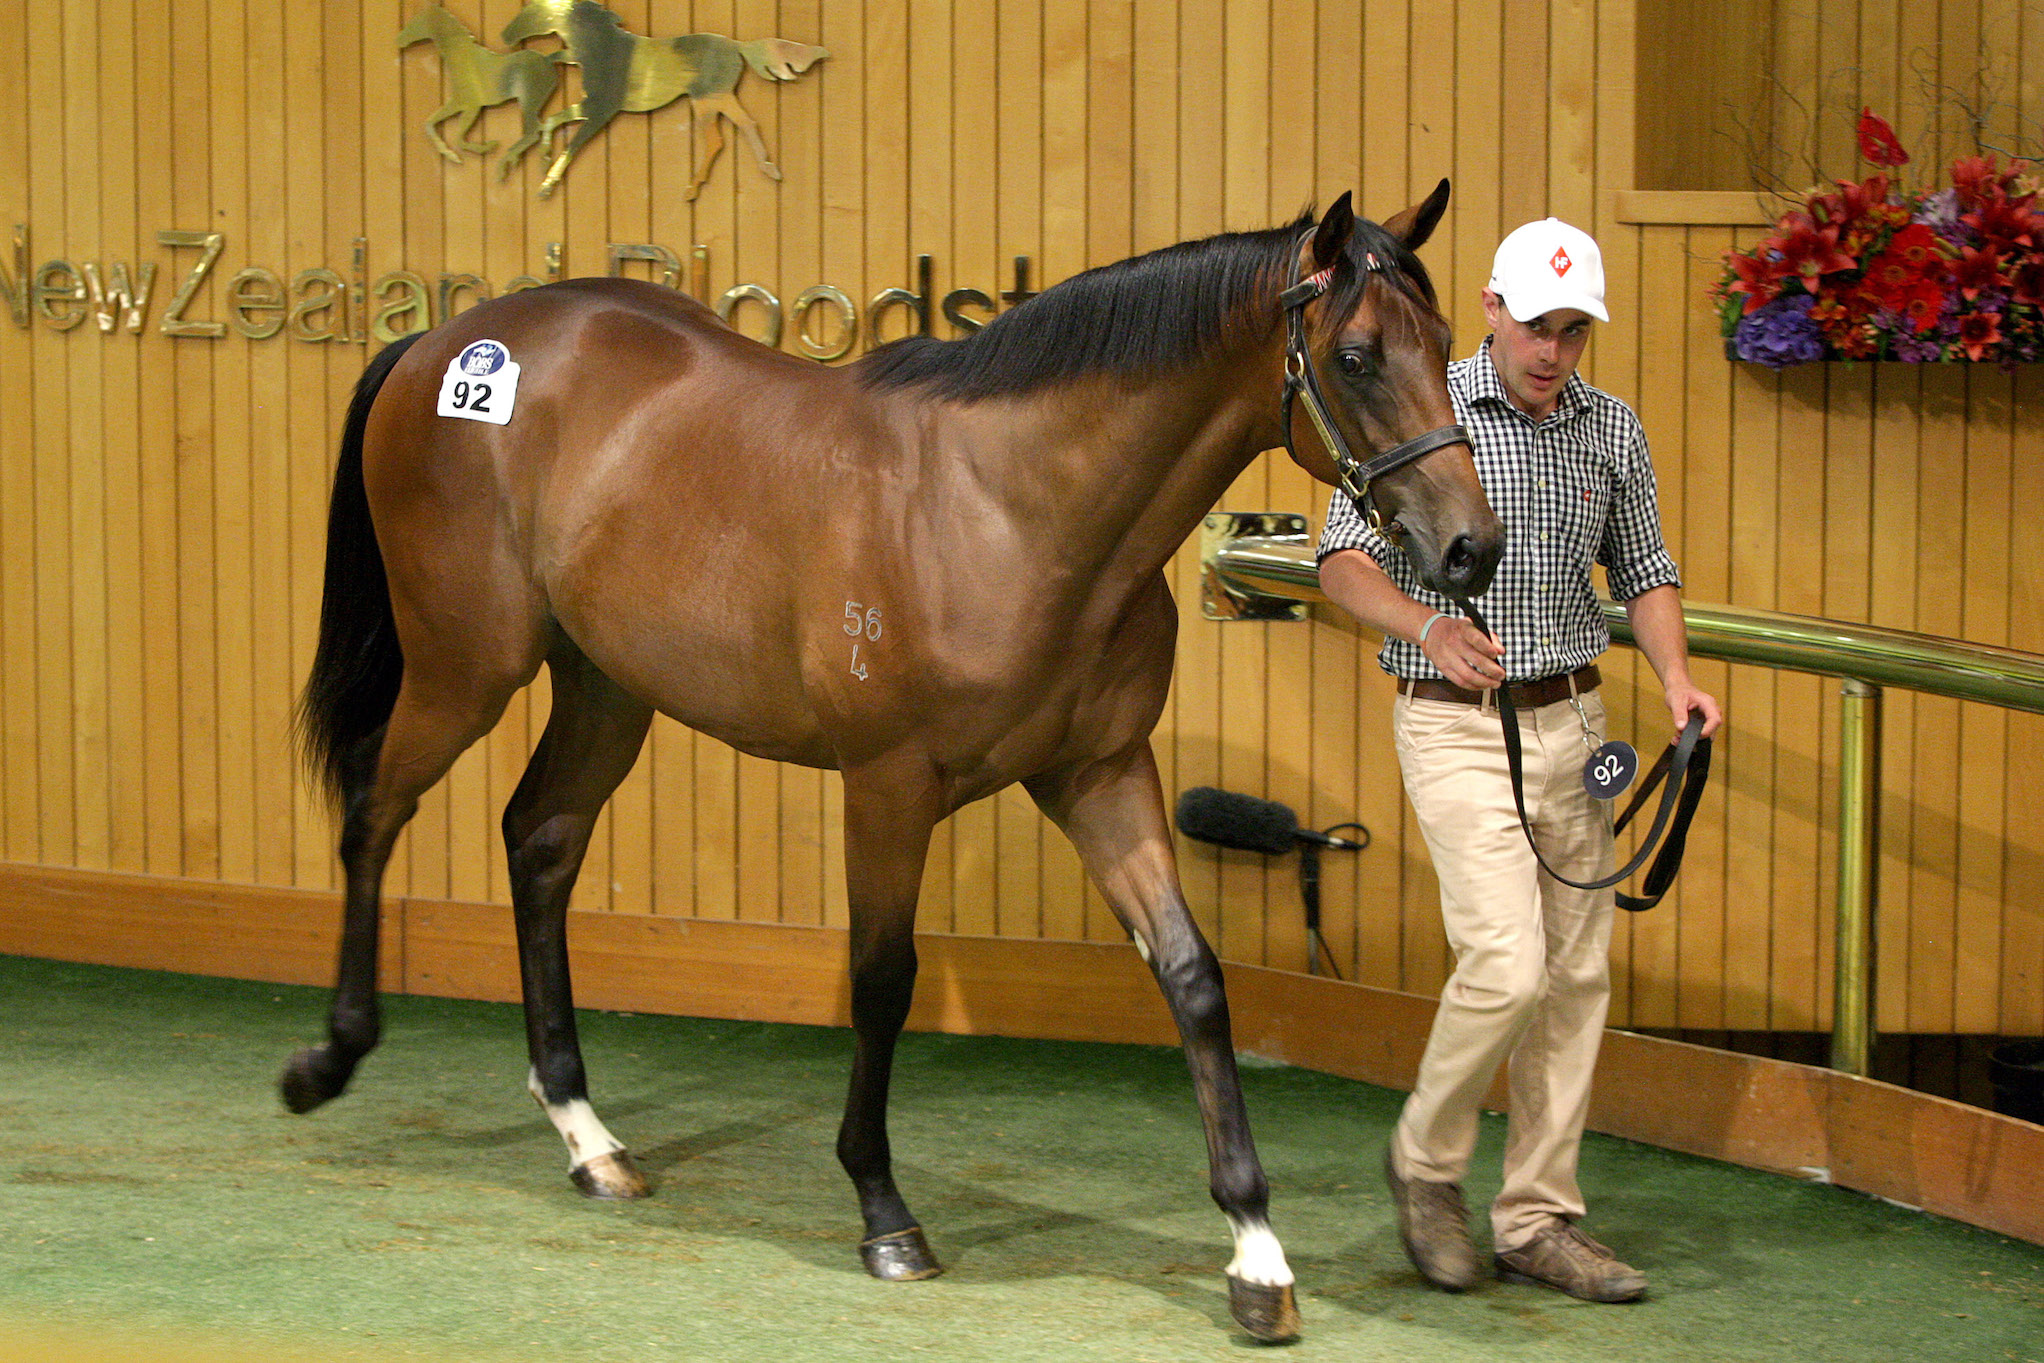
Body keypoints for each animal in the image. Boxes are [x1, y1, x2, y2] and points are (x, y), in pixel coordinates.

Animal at [280, 183, 1504, 1340]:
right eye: (1357, 356)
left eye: (1449, 341)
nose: (1471, 549)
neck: (1008, 508)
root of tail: (448, 344)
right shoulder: (889, 784)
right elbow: (881, 981)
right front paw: (883, 1211)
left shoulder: (1101, 775)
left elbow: (1194, 979)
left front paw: (1256, 1254)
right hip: (464, 667)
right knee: (372, 810)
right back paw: (330, 1059)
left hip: (606, 685)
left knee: (538, 842)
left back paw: (588, 1135)